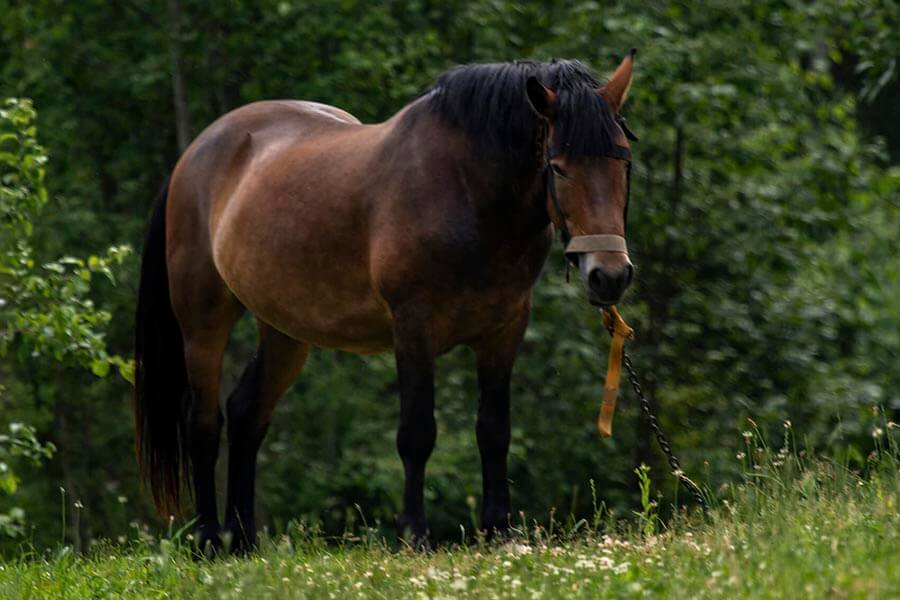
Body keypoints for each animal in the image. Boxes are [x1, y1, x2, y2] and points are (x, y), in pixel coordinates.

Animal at [134, 51, 637, 553]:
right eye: (559, 166)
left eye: (624, 162)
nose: (609, 275)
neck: (465, 190)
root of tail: (195, 154)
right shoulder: (414, 327)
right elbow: (417, 433)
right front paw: (414, 533)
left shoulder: (505, 330)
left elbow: (494, 429)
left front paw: (498, 531)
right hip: (203, 323)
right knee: (203, 421)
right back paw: (207, 539)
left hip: (284, 332)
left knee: (246, 413)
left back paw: (242, 540)